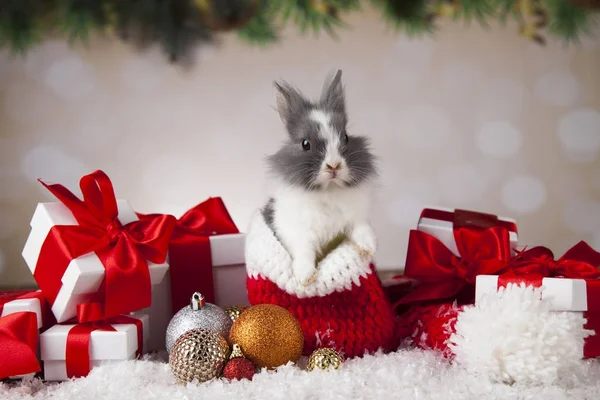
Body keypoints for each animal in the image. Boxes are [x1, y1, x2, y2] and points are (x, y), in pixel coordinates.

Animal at [260, 69, 378, 288]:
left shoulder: (355, 219)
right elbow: (304, 252)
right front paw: (304, 277)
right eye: (305, 144)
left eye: (346, 137)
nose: (334, 165)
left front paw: (369, 246)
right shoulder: (298, 233)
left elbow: (360, 229)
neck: (329, 189)